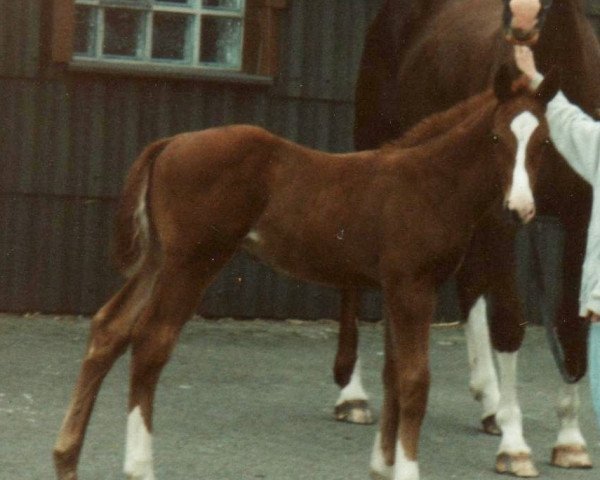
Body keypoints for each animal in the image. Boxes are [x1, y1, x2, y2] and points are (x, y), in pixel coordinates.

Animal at [54, 68, 560, 480]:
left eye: (543, 144)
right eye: (496, 139)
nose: (519, 209)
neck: (430, 183)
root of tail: (169, 144)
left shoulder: (395, 288)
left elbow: (393, 377)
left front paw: (382, 464)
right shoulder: (414, 288)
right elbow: (416, 382)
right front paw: (407, 469)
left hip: (158, 260)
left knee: (109, 330)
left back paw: (66, 457)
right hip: (191, 263)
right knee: (150, 343)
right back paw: (139, 465)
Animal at [332, 0, 600, 476]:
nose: (522, 20)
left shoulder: (578, 219)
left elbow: (570, 322)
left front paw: (570, 440)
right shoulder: (502, 218)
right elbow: (509, 322)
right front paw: (515, 446)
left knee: (471, 282)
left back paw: (490, 403)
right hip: (375, 145)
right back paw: (352, 396)